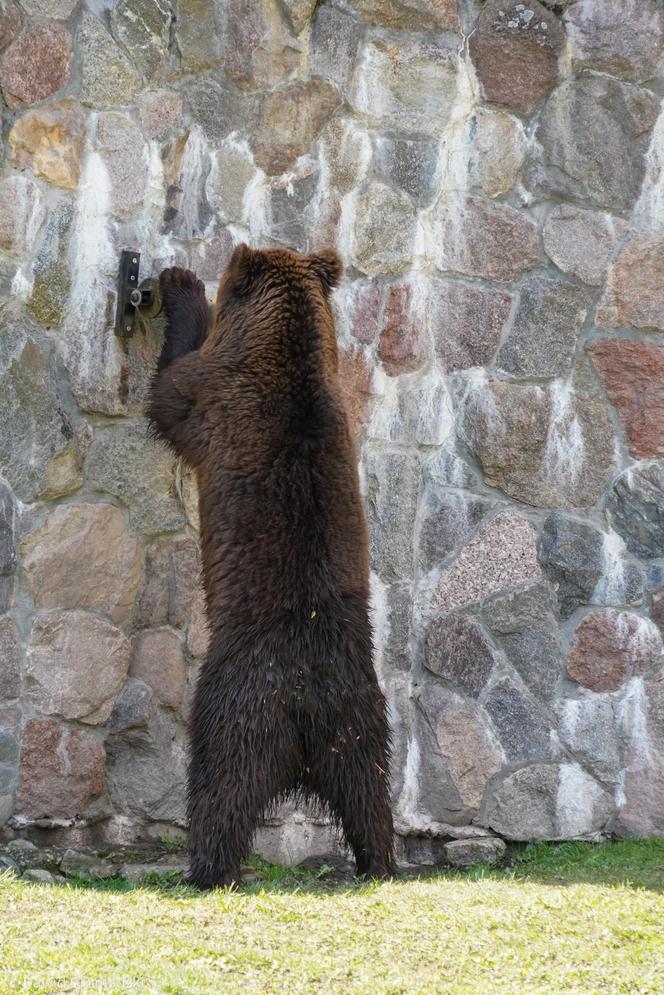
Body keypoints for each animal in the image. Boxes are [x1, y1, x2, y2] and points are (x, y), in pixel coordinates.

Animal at [147, 247, 394, 888]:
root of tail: (304, 721)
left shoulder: (216, 394)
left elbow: (169, 391)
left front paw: (182, 284)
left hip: (238, 703)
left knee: (220, 783)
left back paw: (204, 868)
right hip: (358, 717)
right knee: (370, 792)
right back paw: (381, 860)